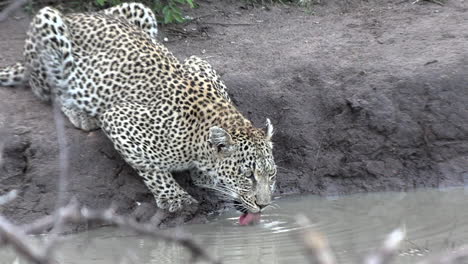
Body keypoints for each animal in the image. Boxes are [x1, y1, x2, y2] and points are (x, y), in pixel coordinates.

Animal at [0, 2, 278, 214]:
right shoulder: (117, 119)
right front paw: (175, 197)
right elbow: (151, 167)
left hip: (141, 10)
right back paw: (77, 112)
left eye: (272, 174)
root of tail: (74, 15)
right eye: (248, 175)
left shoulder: (200, 64)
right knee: (49, 90)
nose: (264, 206)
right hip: (49, 23)